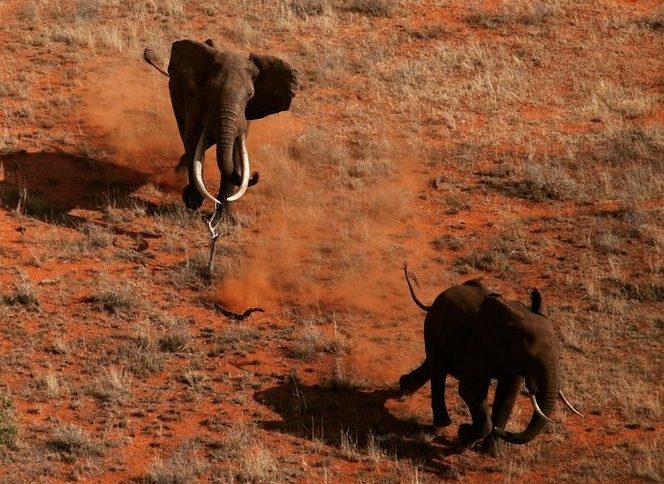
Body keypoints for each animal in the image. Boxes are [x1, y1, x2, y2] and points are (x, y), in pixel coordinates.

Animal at [144, 39, 297, 217]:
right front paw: (192, 201)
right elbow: (193, 141)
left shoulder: (244, 116)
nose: (255, 174)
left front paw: (222, 216)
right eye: (210, 90)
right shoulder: (196, 102)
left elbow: (235, 153)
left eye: (250, 95)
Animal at [399, 265, 582, 451]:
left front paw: (492, 450)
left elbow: (507, 396)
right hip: (433, 325)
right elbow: (470, 390)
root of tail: (436, 300)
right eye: (531, 359)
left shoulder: (512, 362)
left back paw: (405, 386)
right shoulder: (478, 345)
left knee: (433, 364)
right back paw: (442, 422)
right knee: (438, 370)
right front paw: (465, 435)